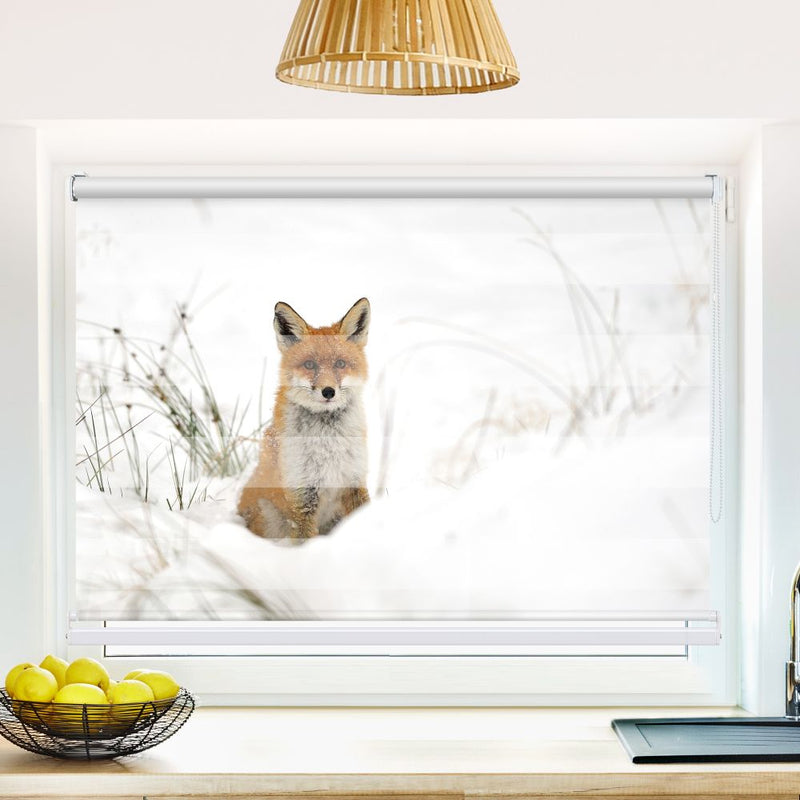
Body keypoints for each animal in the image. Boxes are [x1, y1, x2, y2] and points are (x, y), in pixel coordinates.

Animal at [237, 297, 371, 540]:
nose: (328, 392)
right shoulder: (302, 496)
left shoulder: (354, 481)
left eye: (340, 364)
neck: (328, 444)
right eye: (310, 365)